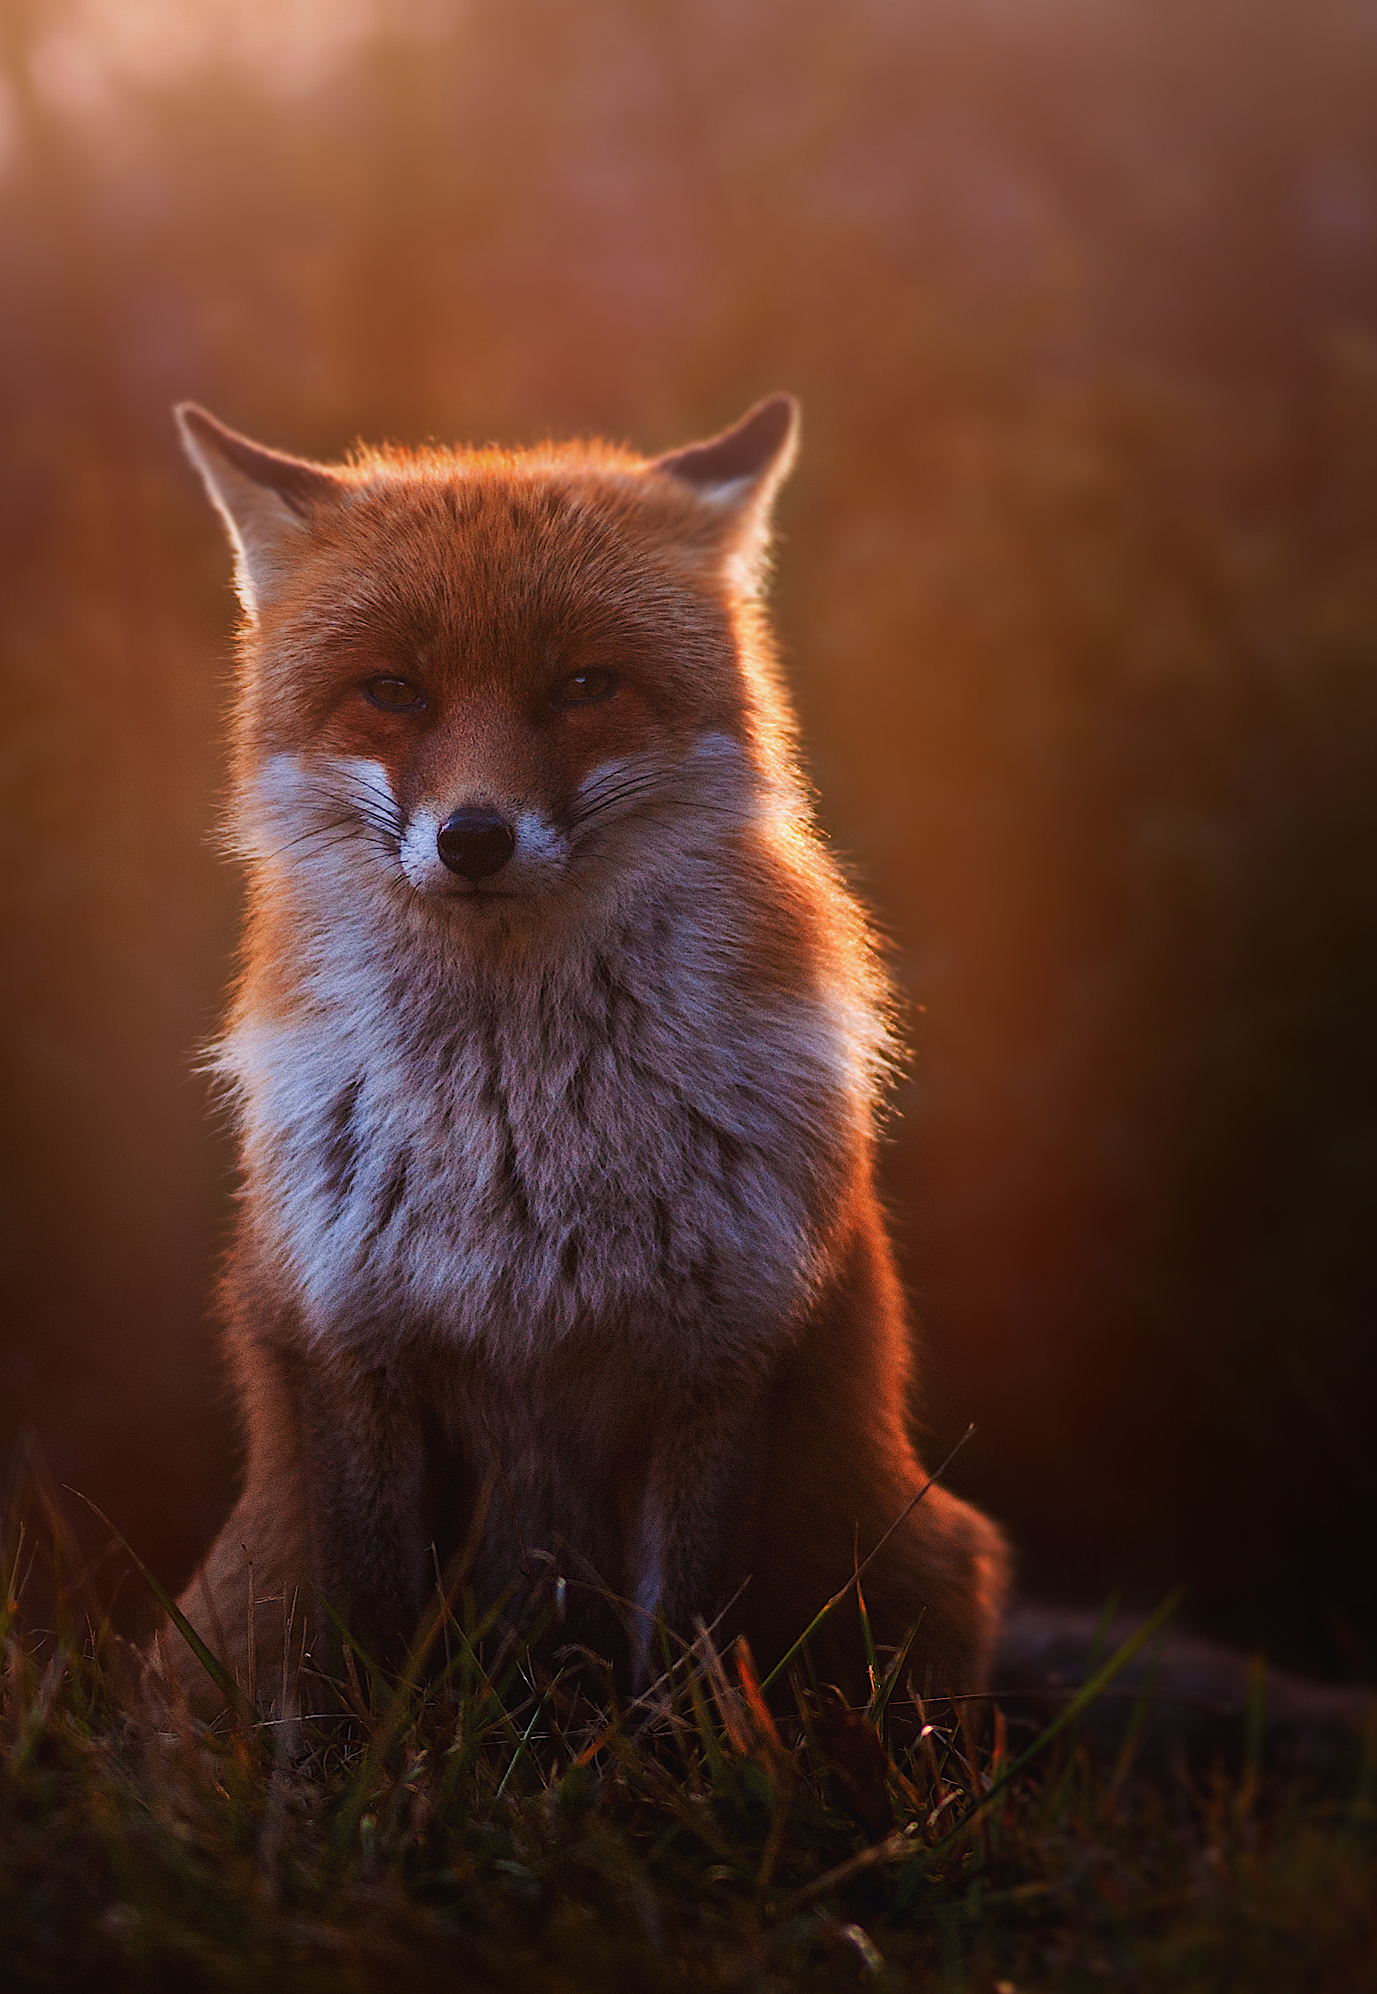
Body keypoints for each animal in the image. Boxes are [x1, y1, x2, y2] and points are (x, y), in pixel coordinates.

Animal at [162, 392, 1011, 1716]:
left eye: (582, 684)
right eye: (393, 690)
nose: (473, 836)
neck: (522, 1144)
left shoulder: (721, 1356)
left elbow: (689, 1653)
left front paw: (683, 1770)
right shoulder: (349, 1347)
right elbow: (363, 1648)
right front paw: (351, 1771)